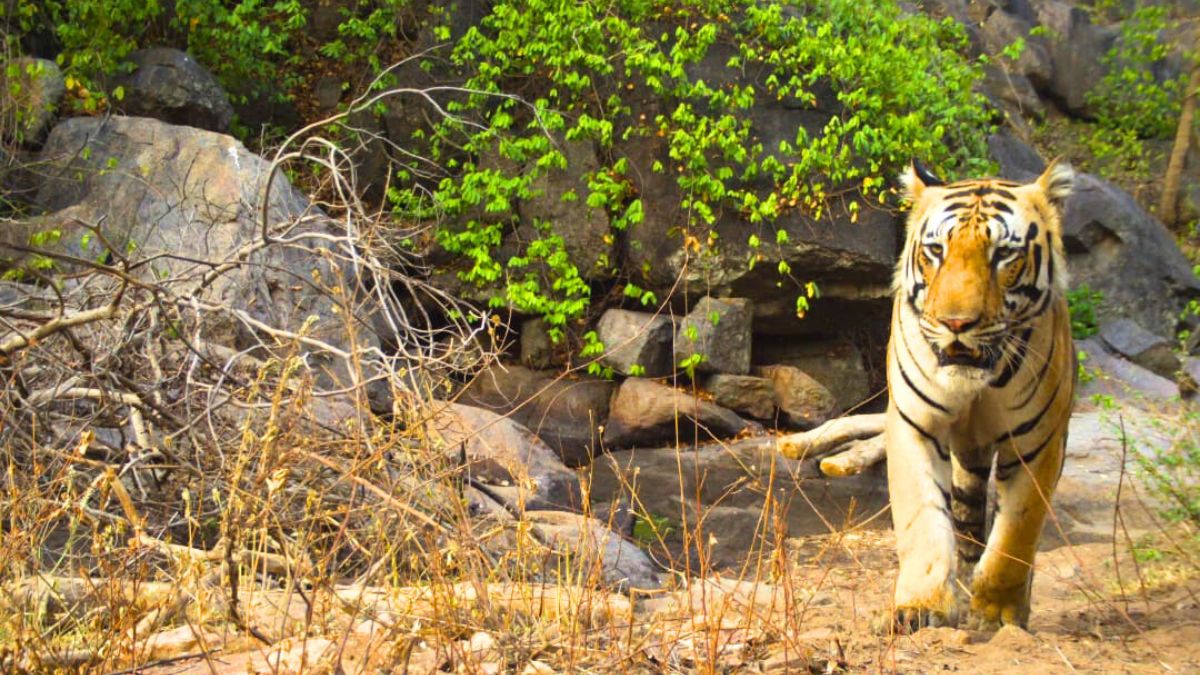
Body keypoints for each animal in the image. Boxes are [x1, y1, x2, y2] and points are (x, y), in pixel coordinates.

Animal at [883, 158, 1080, 629]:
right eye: (936, 251)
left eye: (1003, 254)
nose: (956, 323)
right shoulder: (915, 425)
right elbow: (922, 519)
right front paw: (921, 605)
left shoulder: (1037, 444)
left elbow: (1015, 536)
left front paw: (998, 612)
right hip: (967, 461)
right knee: (968, 521)